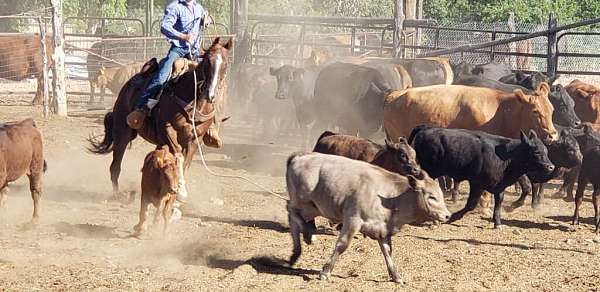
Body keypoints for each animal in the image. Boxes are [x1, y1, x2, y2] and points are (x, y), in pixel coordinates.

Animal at [89, 37, 232, 201]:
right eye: (208, 61)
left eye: (226, 63)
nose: (211, 94)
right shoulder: (167, 129)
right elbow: (178, 155)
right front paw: (180, 190)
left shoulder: (196, 139)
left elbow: (186, 162)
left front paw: (180, 191)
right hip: (122, 132)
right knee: (115, 167)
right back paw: (118, 194)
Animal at [410, 125, 556, 228]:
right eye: (536, 152)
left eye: (546, 151)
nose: (551, 167)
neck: (505, 156)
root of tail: (426, 129)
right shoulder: (477, 184)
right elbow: (471, 204)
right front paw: (452, 217)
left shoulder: (499, 186)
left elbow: (499, 202)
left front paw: (497, 222)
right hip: (429, 170)